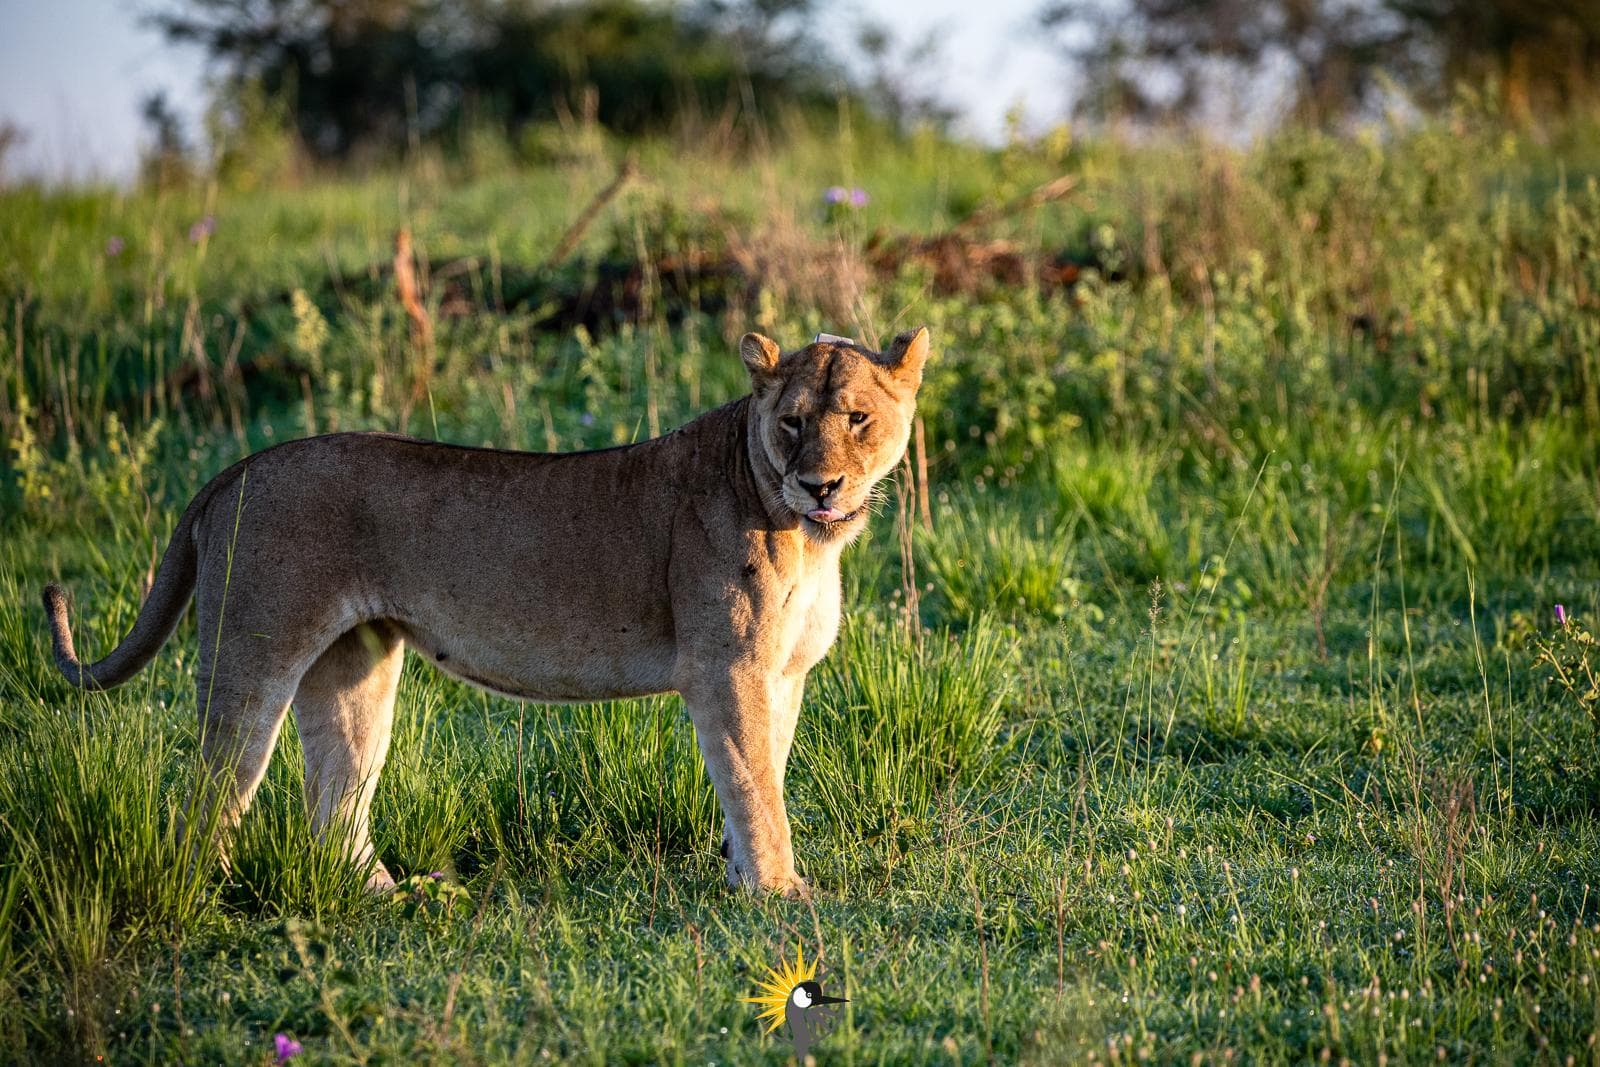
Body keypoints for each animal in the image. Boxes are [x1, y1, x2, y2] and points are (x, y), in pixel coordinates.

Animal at [42, 326, 930, 896]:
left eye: (857, 418)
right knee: (212, 792)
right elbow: (754, 782)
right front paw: (780, 892)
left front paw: (748, 876)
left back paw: (386, 894)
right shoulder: (728, 669)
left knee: (337, 796)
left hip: (356, 664)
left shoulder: (782, 672)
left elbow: (764, 771)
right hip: (252, 654)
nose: (821, 484)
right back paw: (206, 899)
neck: (811, 538)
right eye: (792, 423)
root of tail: (239, 466)